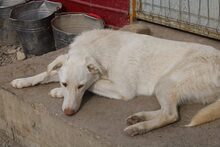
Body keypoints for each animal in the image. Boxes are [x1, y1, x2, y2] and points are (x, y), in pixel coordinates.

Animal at [11, 29, 220, 136]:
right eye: (64, 83)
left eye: (80, 86)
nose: (68, 113)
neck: (98, 48)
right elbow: (47, 73)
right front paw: (23, 81)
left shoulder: (123, 90)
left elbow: (93, 84)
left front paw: (56, 92)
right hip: (164, 87)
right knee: (166, 111)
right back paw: (138, 118)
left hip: (165, 82)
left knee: (171, 115)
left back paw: (138, 128)